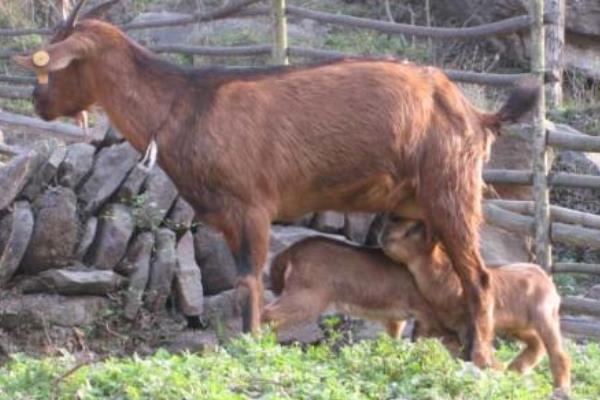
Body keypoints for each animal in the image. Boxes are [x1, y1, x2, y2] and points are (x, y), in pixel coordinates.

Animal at [14, 0, 540, 366]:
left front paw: (248, 351)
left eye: (57, 65)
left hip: (451, 190)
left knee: (480, 277)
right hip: (419, 208)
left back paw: (481, 359)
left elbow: (250, 284)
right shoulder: (228, 217)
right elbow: (246, 284)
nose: (37, 102)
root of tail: (476, 114)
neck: (188, 105)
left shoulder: (252, 206)